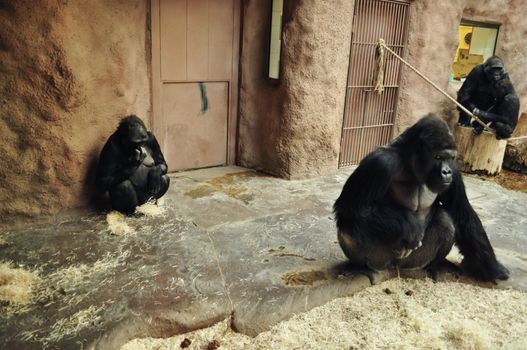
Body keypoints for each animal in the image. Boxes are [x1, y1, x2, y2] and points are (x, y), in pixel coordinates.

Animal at [334, 113, 512, 284]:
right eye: (438, 157)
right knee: (350, 226)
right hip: (380, 261)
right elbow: (350, 208)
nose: (446, 172)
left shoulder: (455, 171)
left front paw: (492, 268)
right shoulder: (380, 163)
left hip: (414, 261)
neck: (412, 165)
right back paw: (361, 267)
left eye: (450, 158)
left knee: (444, 220)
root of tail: (395, 268)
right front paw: (408, 229)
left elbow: (462, 213)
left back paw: (436, 265)